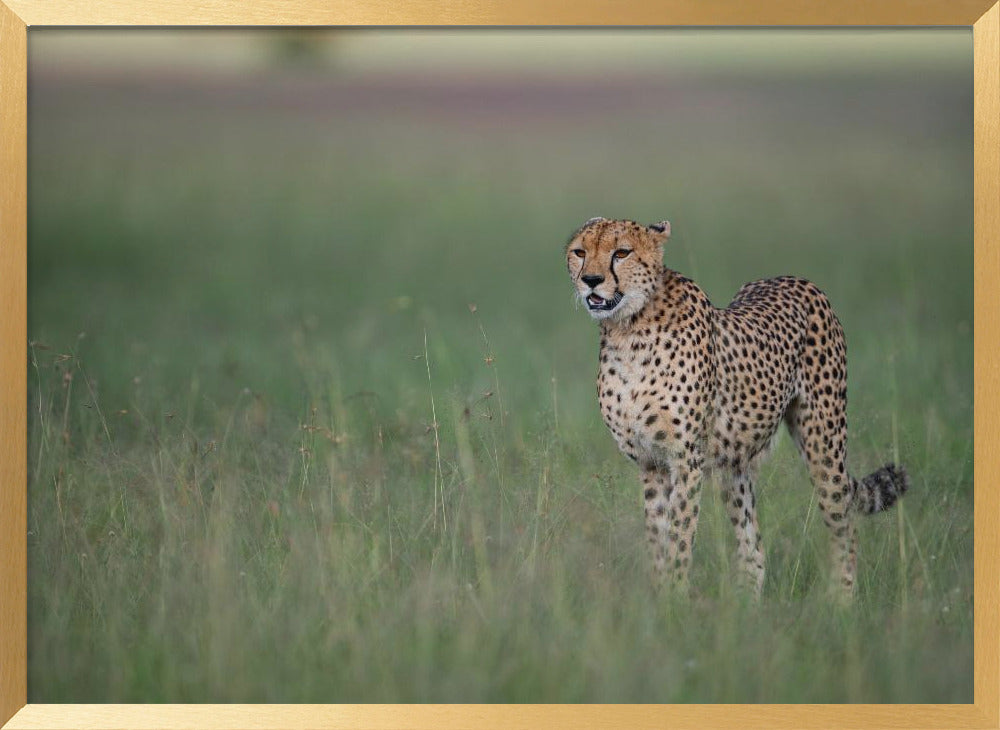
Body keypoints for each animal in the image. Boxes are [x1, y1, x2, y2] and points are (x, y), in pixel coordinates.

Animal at [565, 216, 908, 599]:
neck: (627, 330)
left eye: (621, 253)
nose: (590, 280)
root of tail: (793, 278)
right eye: (579, 252)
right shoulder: (651, 462)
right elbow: (658, 537)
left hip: (823, 444)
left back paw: (841, 602)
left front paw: (675, 599)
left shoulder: (686, 460)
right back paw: (748, 606)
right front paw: (658, 597)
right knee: (754, 549)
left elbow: (680, 537)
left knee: (844, 524)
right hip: (735, 466)